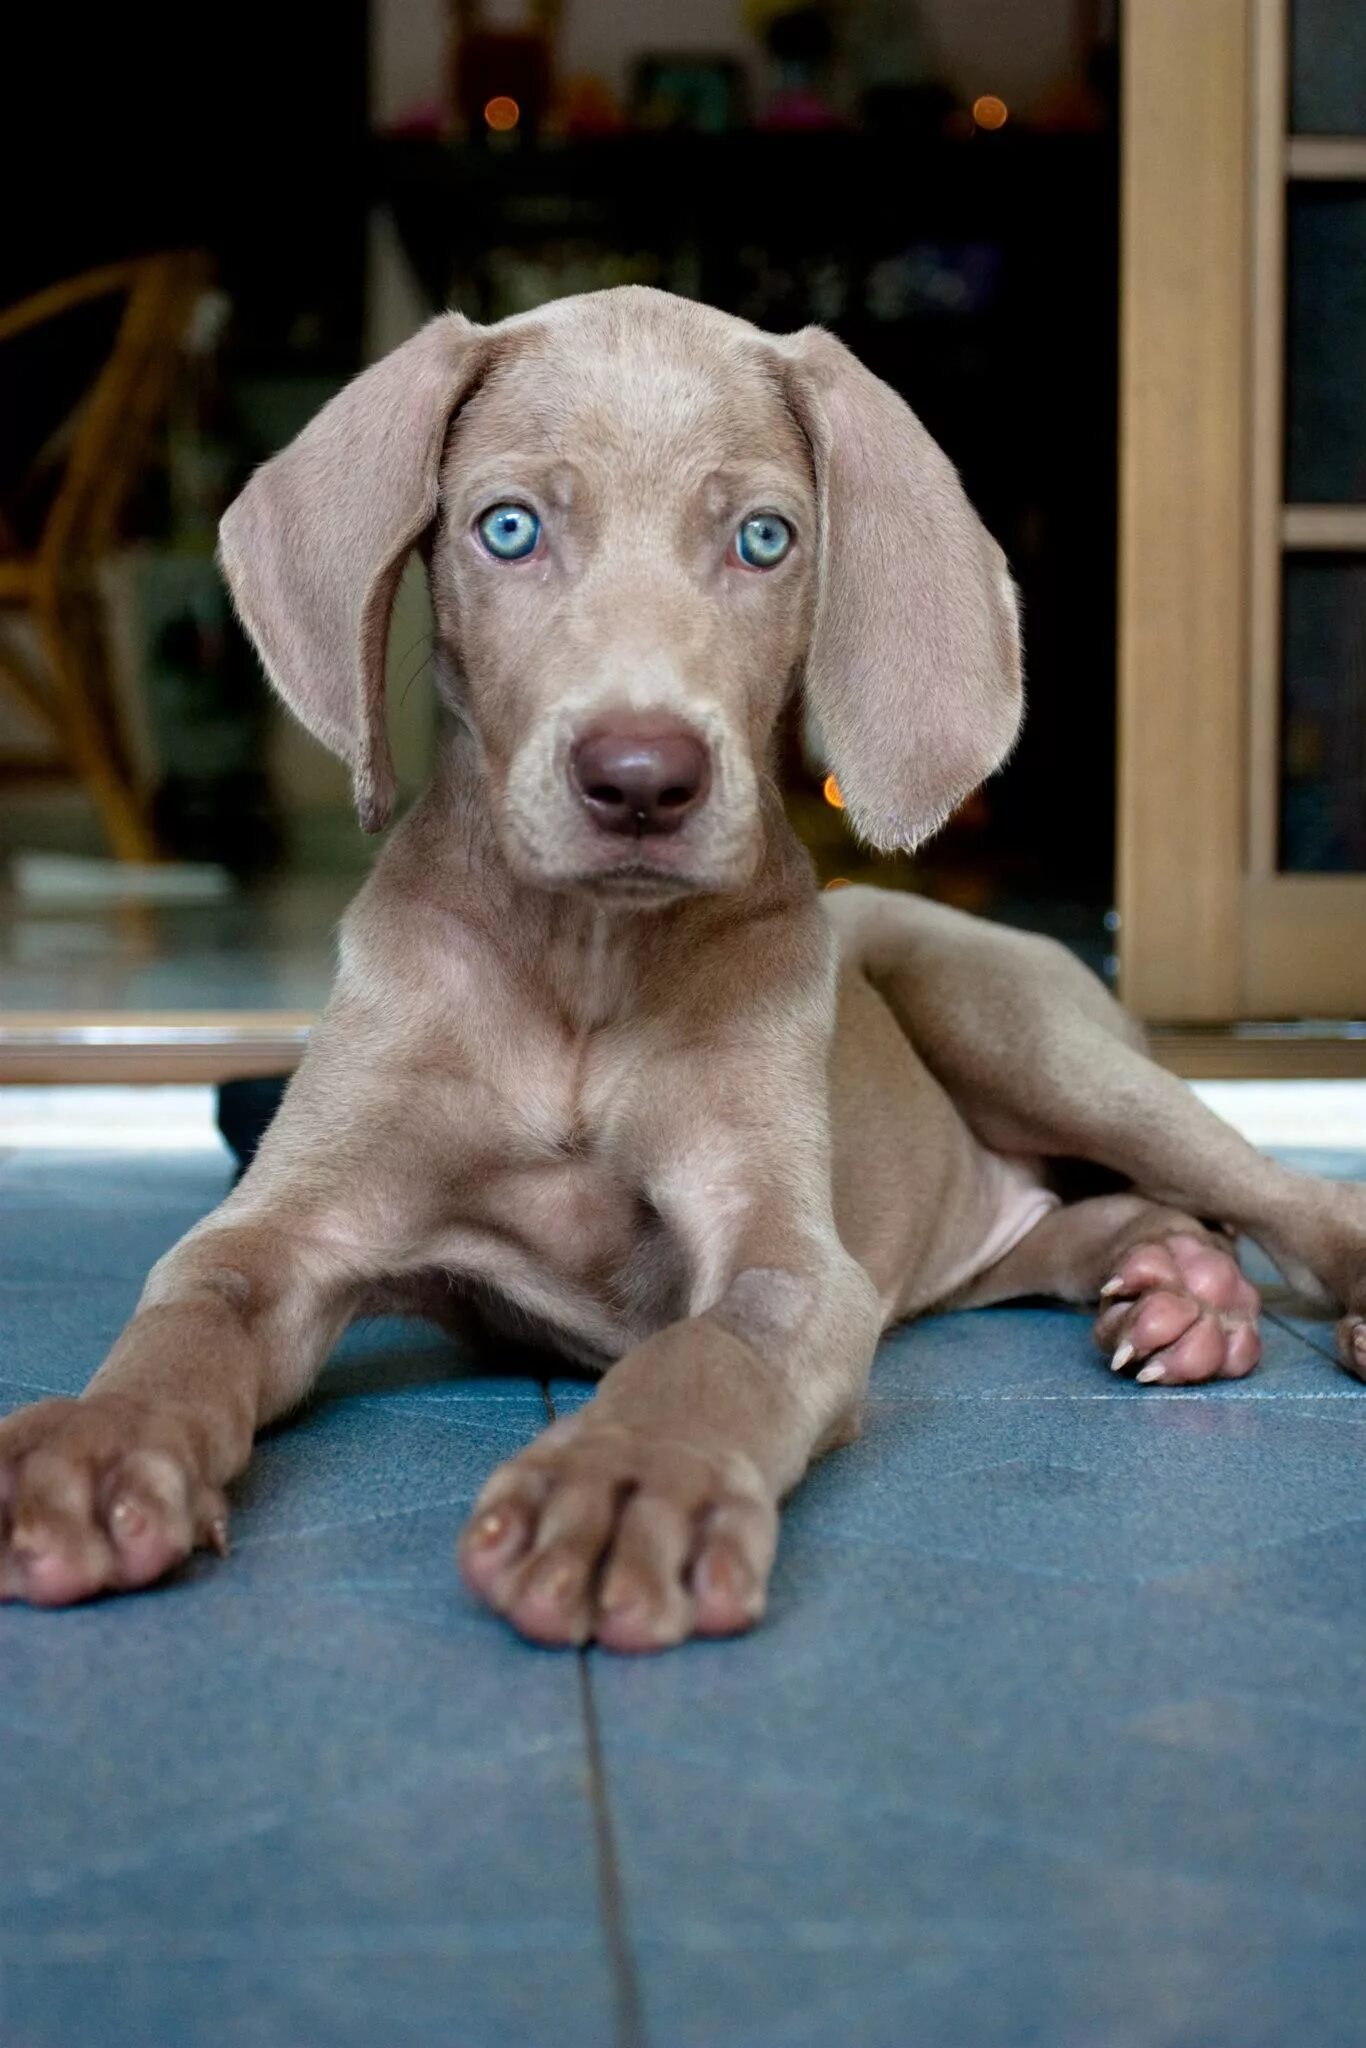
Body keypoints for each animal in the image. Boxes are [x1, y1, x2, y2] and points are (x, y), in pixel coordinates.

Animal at [2, 284, 1366, 1646]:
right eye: (508, 528)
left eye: (764, 539)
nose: (641, 780)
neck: (586, 959)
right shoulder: (281, 1230)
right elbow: (187, 1317)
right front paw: (96, 1445)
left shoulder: (784, 1256)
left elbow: (702, 1354)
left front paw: (619, 1485)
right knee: (1072, 1220)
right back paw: (1175, 1285)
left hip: (996, 1014)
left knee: (1278, 1191)